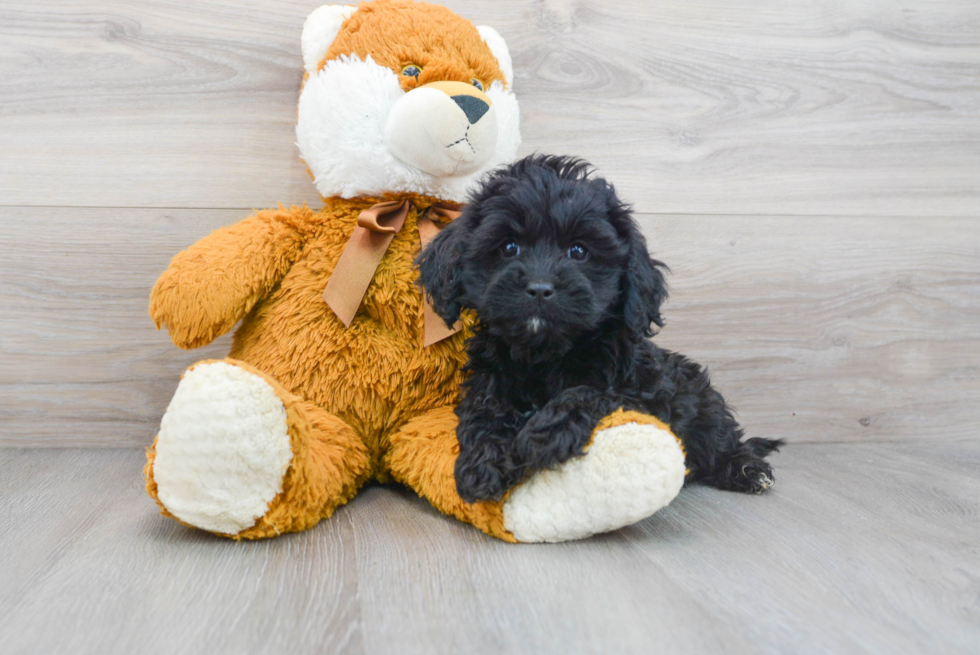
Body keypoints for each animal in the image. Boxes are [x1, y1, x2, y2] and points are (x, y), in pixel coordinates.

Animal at [416, 156, 780, 504]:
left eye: (579, 251)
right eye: (508, 247)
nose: (539, 288)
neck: (545, 355)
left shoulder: (646, 395)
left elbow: (591, 394)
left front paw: (544, 434)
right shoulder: (489, 381)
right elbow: (485, 410)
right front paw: (484, 461)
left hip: (703, 405)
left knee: (722, 441)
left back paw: (747, 469)